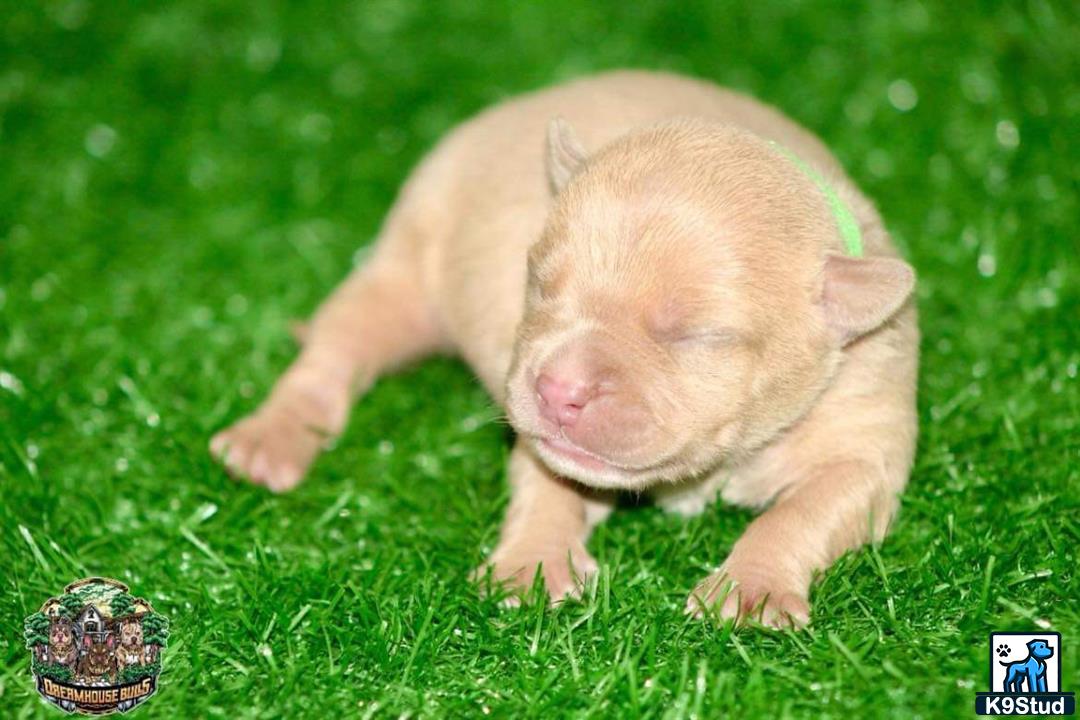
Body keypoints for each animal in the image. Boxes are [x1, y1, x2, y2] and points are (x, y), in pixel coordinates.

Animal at [212, 70, 920, 626]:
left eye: (695, 335)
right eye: (541, 285)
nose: (558, 391)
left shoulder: (865, 448)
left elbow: (804, 510)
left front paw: (752, 586)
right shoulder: (540, 438)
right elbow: (543, 481)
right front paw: (532, 561)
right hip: (405, 264)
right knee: (333, 354)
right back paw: (270, 440)